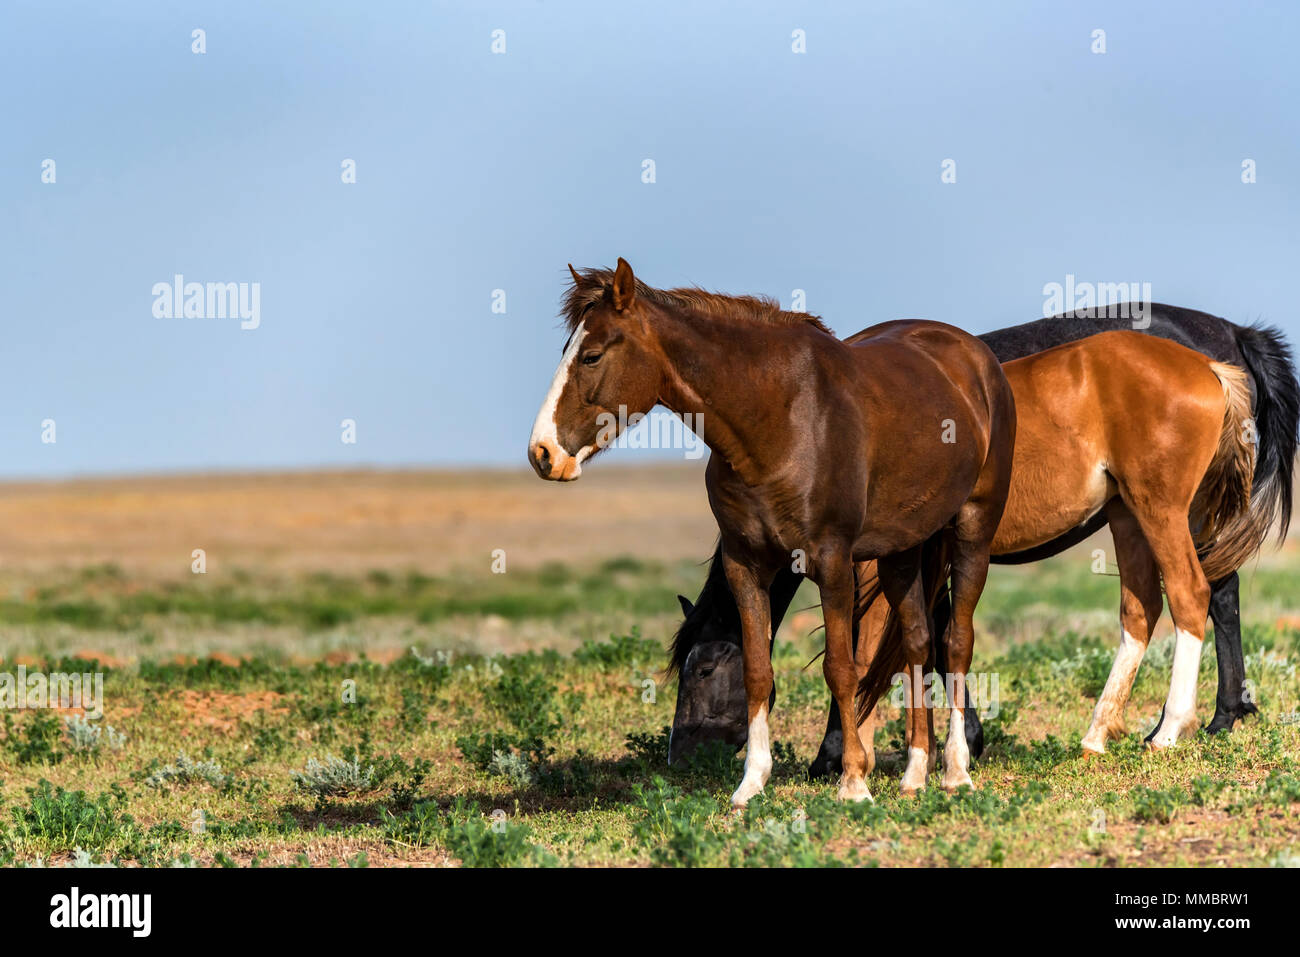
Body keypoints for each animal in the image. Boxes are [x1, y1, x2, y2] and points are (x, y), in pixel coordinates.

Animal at [528, 258, 1016, 804]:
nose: (542, 453)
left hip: (972, 532)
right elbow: (758, 671)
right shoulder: (747, 564)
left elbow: (841, 669)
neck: (779, 422)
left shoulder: (832, 562)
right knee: (916, 643)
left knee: (955, 643)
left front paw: (853, 782)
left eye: (591, 356)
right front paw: (751, 784)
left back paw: (955, 771)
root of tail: (976, 358)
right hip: (902, 552)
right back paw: (913, 775)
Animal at [667, 306, 1298, 774]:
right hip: (1130, 516)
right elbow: (928, 640)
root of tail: (1213, 362)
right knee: (1147, 608)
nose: (678, 757)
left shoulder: (867, 566)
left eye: (701, 671)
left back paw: (1177, 728)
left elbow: (869, 651)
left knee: (1198, 595)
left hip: (1166, 513)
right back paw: (1113, 731)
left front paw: (846, 755)